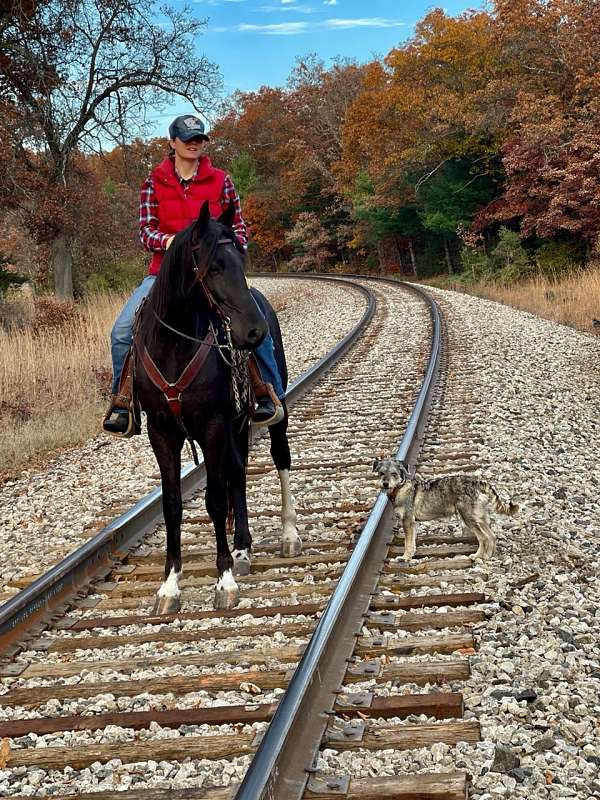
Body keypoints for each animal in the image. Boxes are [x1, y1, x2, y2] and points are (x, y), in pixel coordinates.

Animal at [132, 202, 298, 612]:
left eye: (240, 257)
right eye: (214, 266)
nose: (255, 331)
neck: (175, 347)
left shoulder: (213, 425)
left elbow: (215, 500)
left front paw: (224, 581)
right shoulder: (162, 432)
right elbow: (173, 504)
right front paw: (169, 585)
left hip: (272, 410)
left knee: (280, 458)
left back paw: (288, 535)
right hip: (236, 424)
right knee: (237, 472)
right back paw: (241, 549)